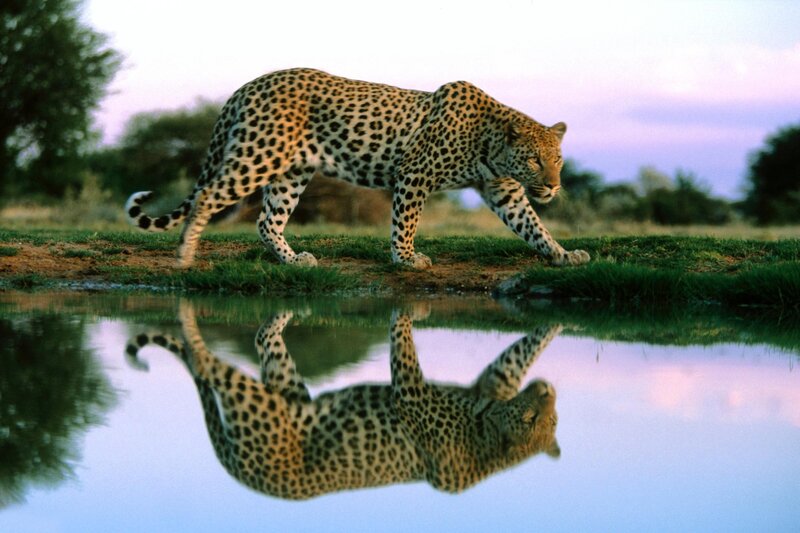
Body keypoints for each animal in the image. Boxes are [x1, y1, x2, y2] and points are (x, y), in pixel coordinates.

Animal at [124, 68, 590, 269]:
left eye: (558, 160)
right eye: (534, 159)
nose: (553, 186)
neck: (489, 142)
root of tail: (248, 85)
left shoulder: (503, 190)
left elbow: (532, 225)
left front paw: (562, 254)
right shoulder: (414, 174)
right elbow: (405, 222)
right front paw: (406, 259)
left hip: (291, 172)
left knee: (266, 220)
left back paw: (293, 260)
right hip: (259, 156)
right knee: (207, 195)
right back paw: (184, 255)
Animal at [126, 301, 561, 500]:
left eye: (552, 420)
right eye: (530, 419)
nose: (548, 391)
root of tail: (245, 477)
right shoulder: (413, 392)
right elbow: (403, 345)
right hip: (258, 404)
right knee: (206, 363)